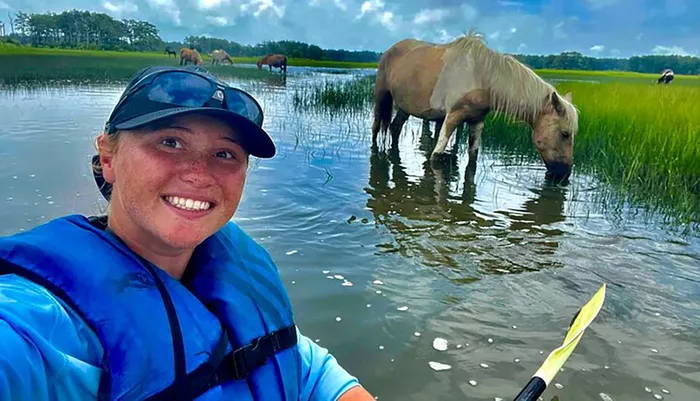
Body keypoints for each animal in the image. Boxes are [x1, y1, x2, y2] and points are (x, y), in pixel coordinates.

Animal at [372, 32, 580, 179]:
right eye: (565, 134)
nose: (564, 175)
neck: (482, 76)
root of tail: (391, 49)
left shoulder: (477, 121)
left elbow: (473, 158)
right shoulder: (452, 117)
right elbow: (436, 155)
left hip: (405, 106)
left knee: (395, 128)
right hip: (381, 95)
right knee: (376, 128)